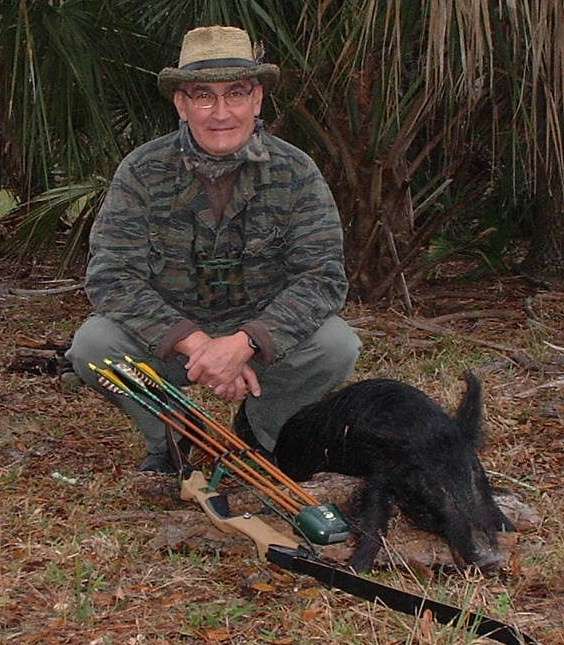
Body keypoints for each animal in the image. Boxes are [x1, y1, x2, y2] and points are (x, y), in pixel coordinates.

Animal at [274, 372, 514, 573]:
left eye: (473, 473)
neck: (424, 429)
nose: (490, 558)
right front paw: (357, 568)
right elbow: (375, 515)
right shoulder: (380, 473)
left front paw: (510, 528)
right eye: (430, 485)